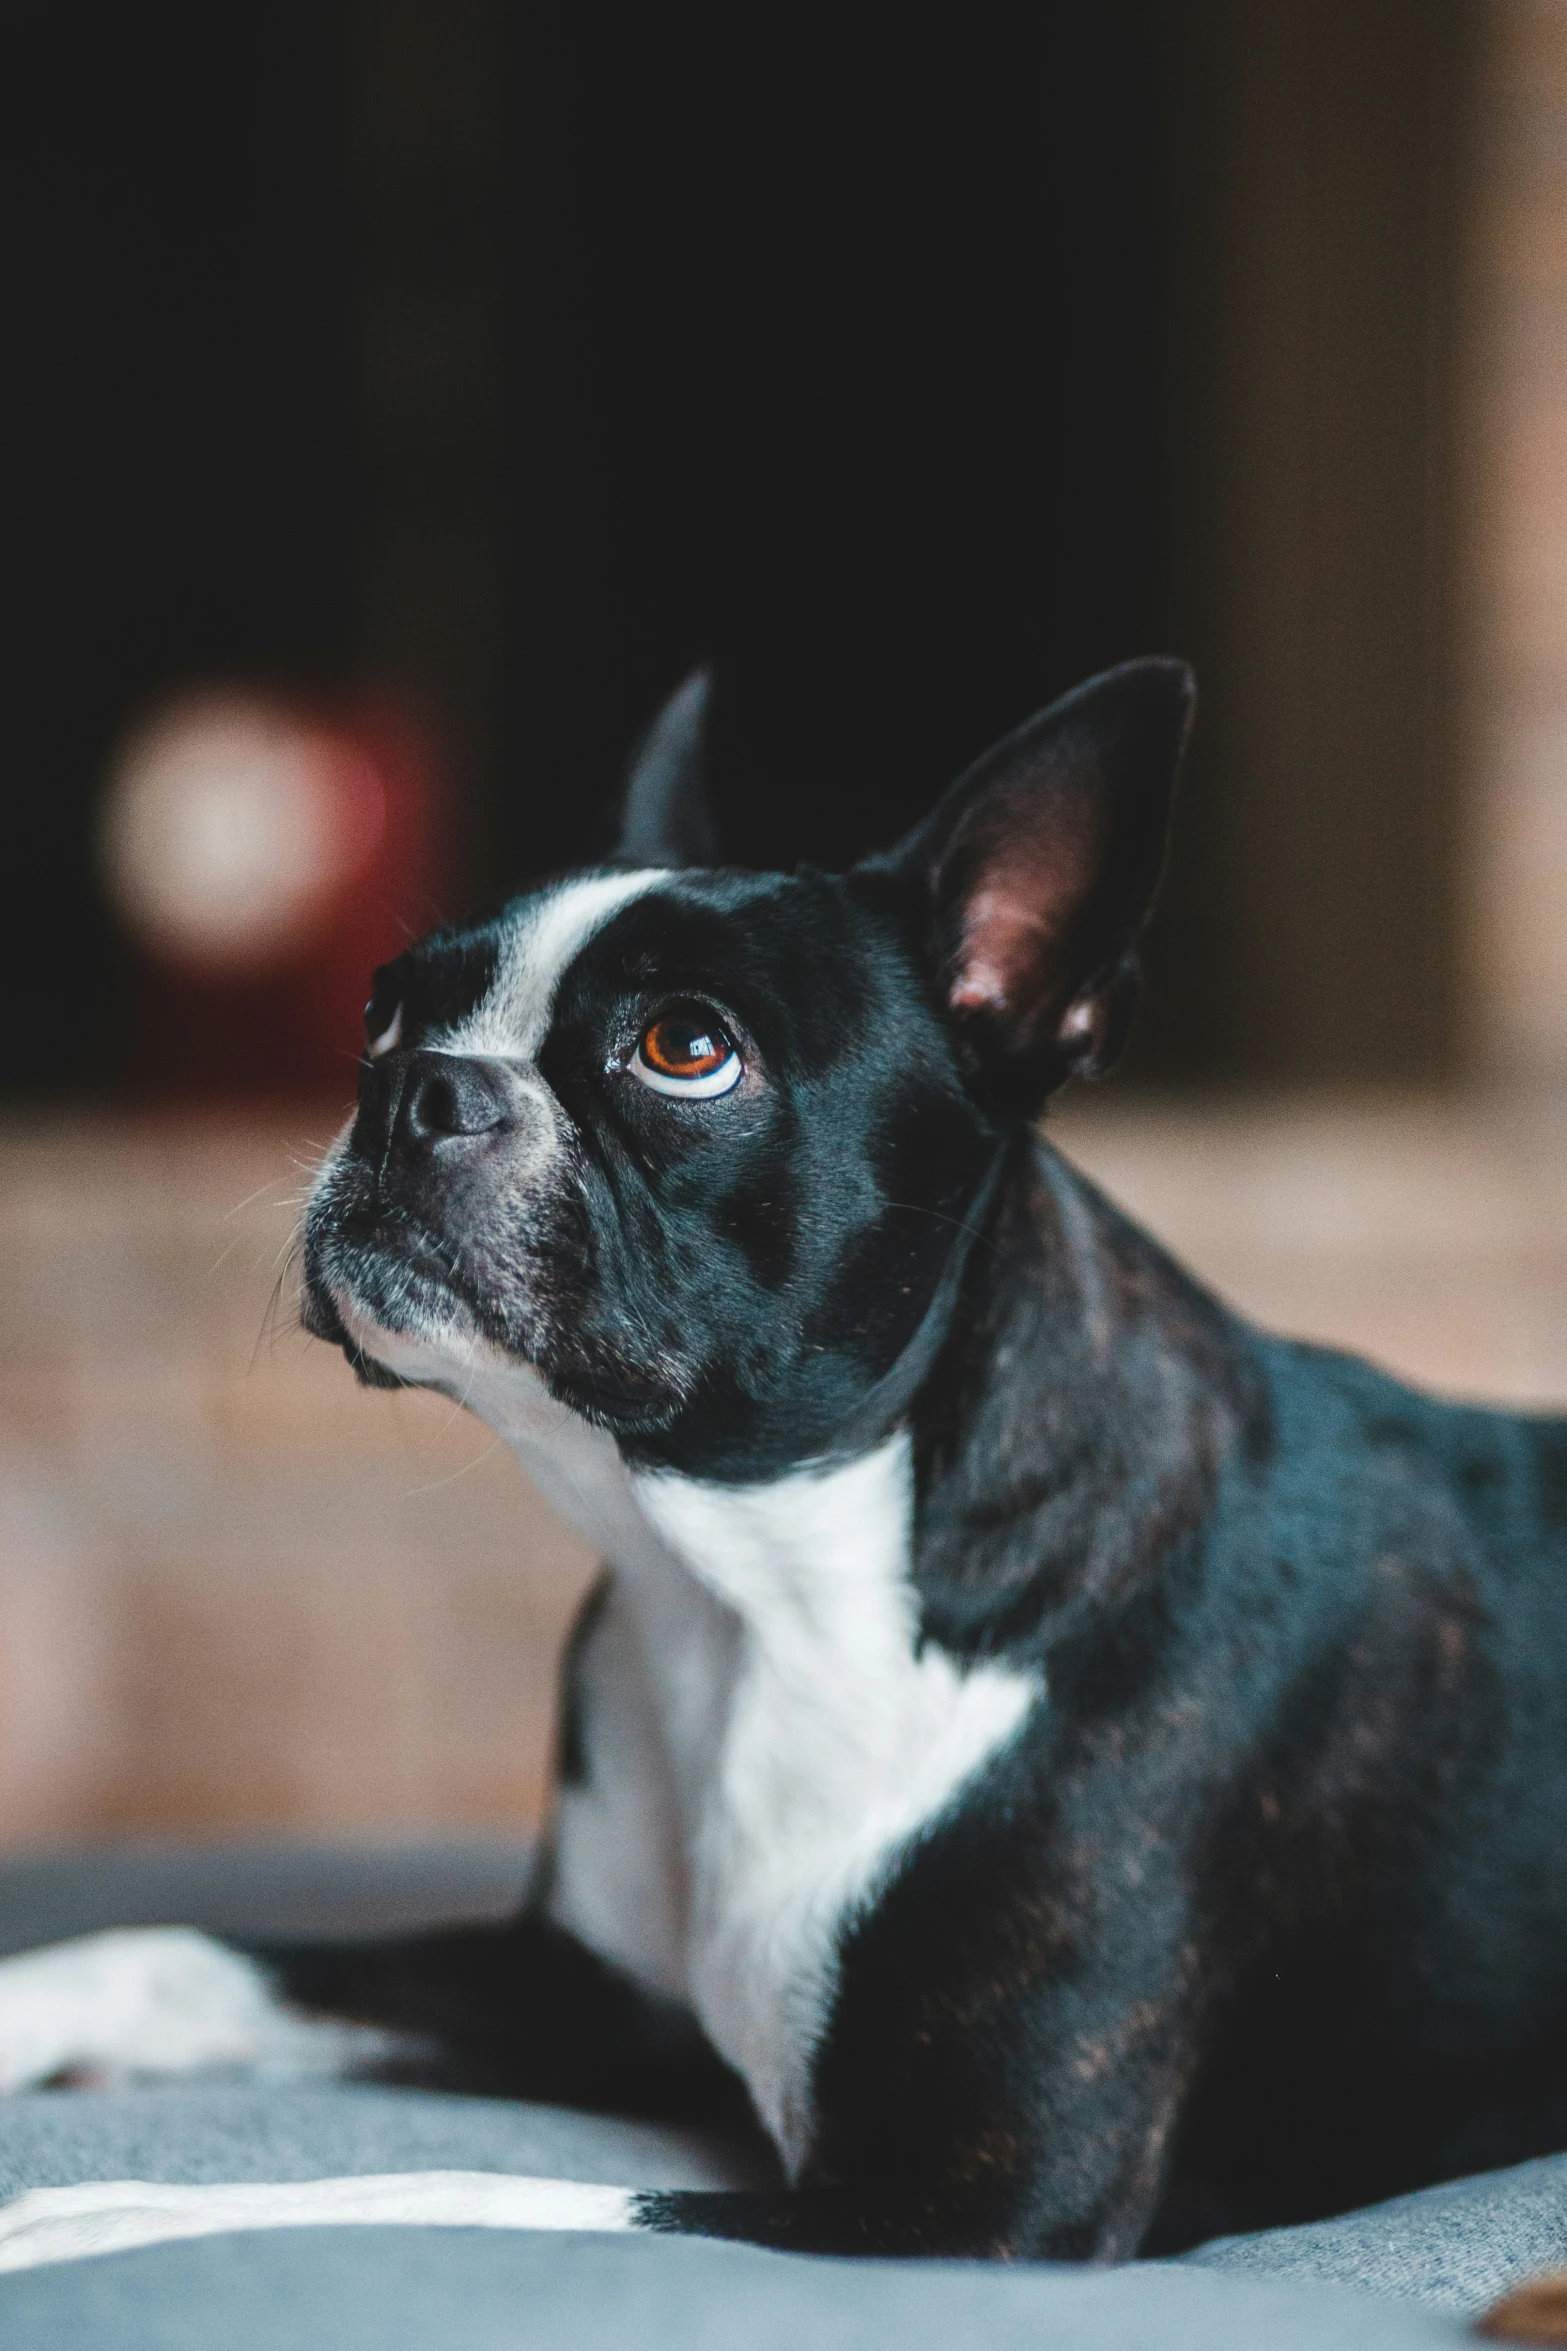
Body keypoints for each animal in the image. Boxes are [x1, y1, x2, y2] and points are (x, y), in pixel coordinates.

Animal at [3, 653, 1567, 2266]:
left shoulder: (977, 2203)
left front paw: (124, 2215)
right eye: (384, 1014)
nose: (416, 1086)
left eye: (685, 1047)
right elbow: (178, 1948)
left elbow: (466, 2191)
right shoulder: (578, 1993)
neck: (752, 1590)